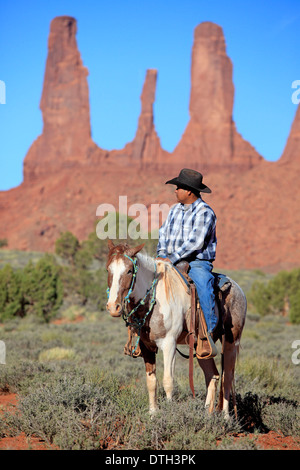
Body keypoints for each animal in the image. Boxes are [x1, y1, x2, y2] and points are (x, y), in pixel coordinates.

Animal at [106, 241, 247, 416]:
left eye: (129, 270)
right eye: (108, 269)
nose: (113, 307)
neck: (154, 300)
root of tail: (237, 288)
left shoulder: (169, 344)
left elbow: (168, 381)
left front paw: (168, 413)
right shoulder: (146, 346)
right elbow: (151, 381)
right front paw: (153, 413)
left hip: (231, 342)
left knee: (227, 376)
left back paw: (225, 416)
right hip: (201, 348)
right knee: (212, 376)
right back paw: (207, 414)